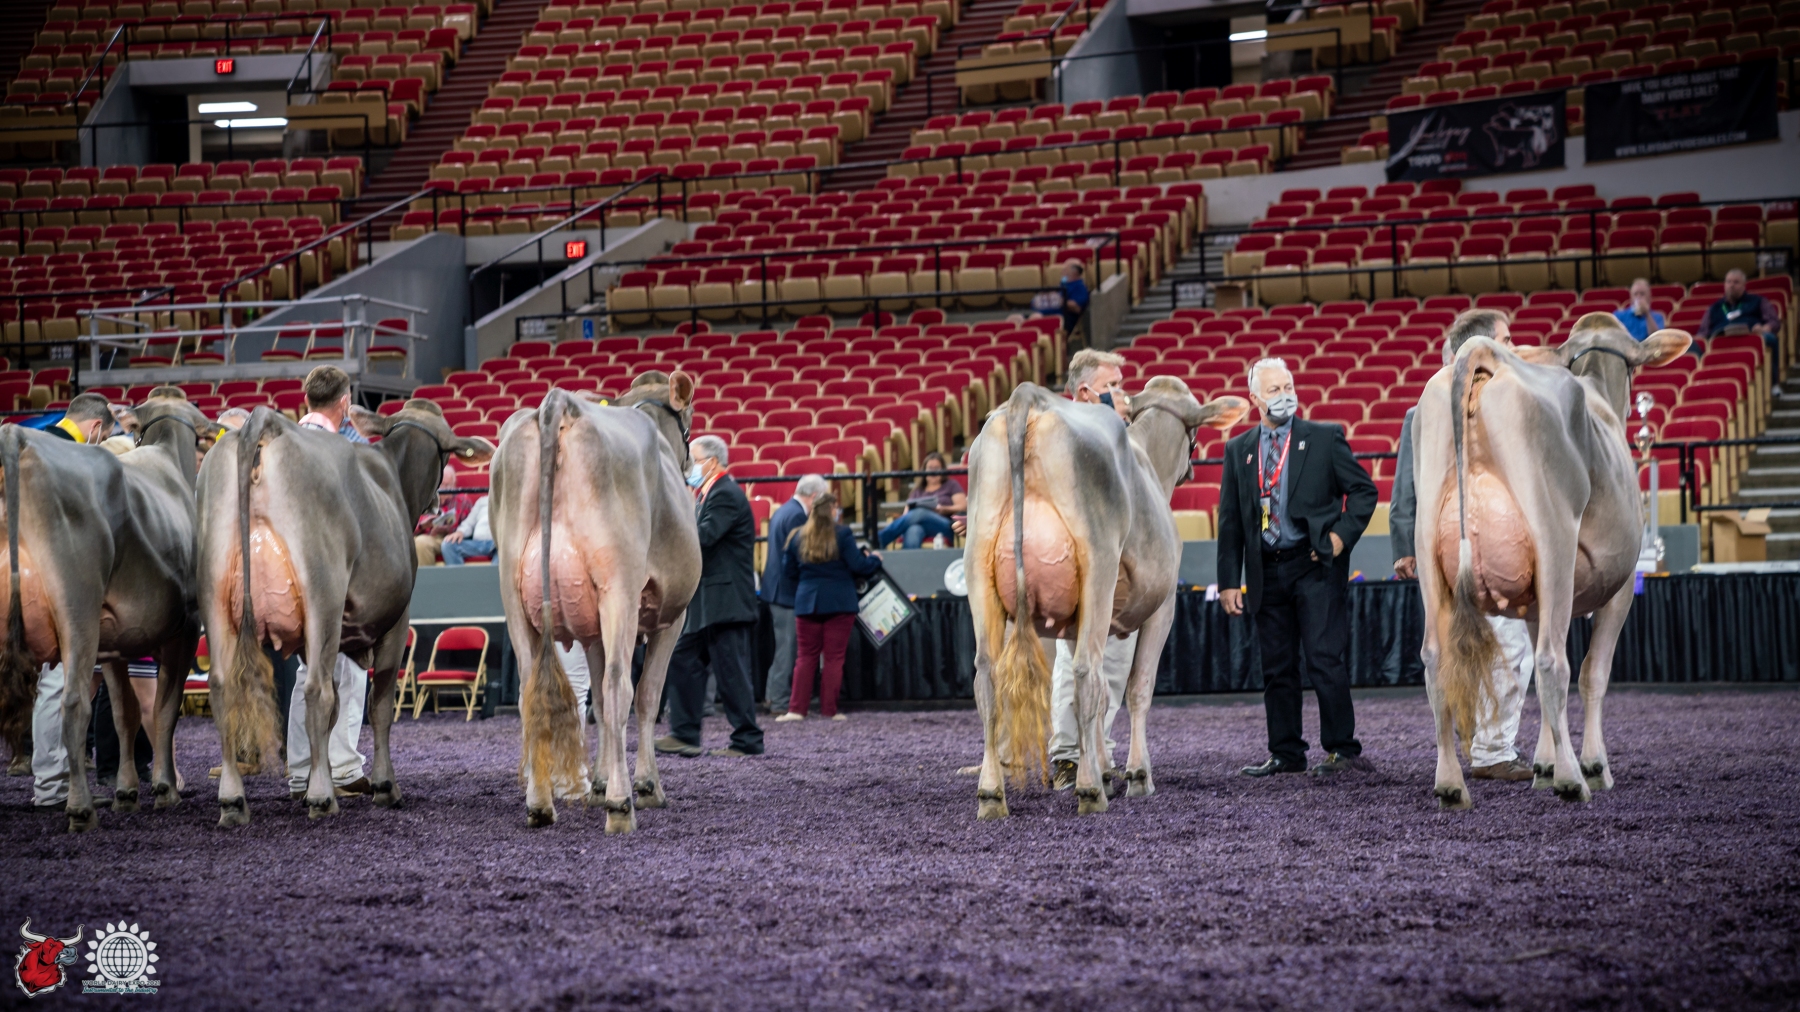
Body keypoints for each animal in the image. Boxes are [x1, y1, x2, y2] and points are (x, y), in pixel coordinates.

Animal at [0, 391, 214, 833]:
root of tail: (19, 437)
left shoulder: (115, 643)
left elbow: (123, 715)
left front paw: (127, 791)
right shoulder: (185, 629)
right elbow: (164, 710)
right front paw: (165, 787)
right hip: (77, 606)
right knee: (73, 704)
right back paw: (80, 807)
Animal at [197, 400, 492, 826]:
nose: (440, 504)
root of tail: (264, 422)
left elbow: (336, 709)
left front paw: (315, 783)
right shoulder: (396, 622)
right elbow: (379, 704)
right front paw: (383, 785)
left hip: (215, 591)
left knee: (224, 688)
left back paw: (234, 799)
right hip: (323, 592)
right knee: (315, 691)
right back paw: (322, 798)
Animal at [488, 374, 702, 832]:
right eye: (689, 425)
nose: (689, 464)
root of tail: (559, 404)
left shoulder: (589, 631)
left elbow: (600, 708)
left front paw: (601, 782)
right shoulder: (671, 618)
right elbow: (646, 696)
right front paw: (644, 786)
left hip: (514, 595)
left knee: (532, 691)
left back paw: (540, 803)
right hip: (617, 586)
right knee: (621, 685)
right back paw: (622, 805)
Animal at [962, 376, 1246, 819]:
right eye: (1196, 436)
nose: (1190, 469)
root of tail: (1028, 397)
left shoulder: (1077, 621)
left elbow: (1098, 703)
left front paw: (1104, 766)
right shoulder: (1163, 608)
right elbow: (1137, 689)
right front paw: (1135, 775)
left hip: (980, 566)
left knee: (989, 677)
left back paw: (993, 795)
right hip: (1098, 562)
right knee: (1085, 674)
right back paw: (1090, 791)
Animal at [1413, 314, 1690, 809]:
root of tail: (1484, 353)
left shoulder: (1530, 601)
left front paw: (1542, 764)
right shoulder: (1622, 588)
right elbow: (1594, 673)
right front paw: (1592, 765)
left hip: (1428, 549)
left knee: (1435, 660)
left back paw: (1451, 785)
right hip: (1554, 536)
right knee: (1552, 663)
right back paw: (1571, 779)